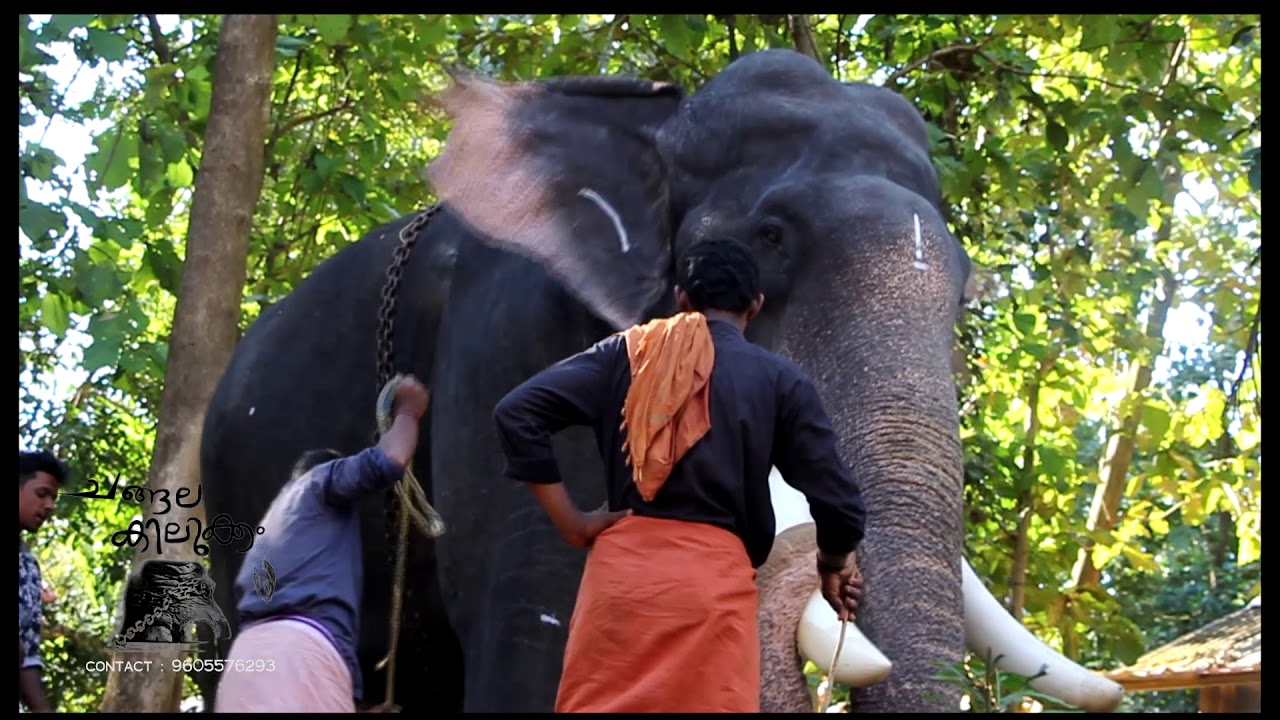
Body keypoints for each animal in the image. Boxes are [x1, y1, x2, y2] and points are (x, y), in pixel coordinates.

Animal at [194, 48, 1122, 713]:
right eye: (773, 237)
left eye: (965, 290)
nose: (840, 581)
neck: (655, 118)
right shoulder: (509, 336)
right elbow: (539, 625)